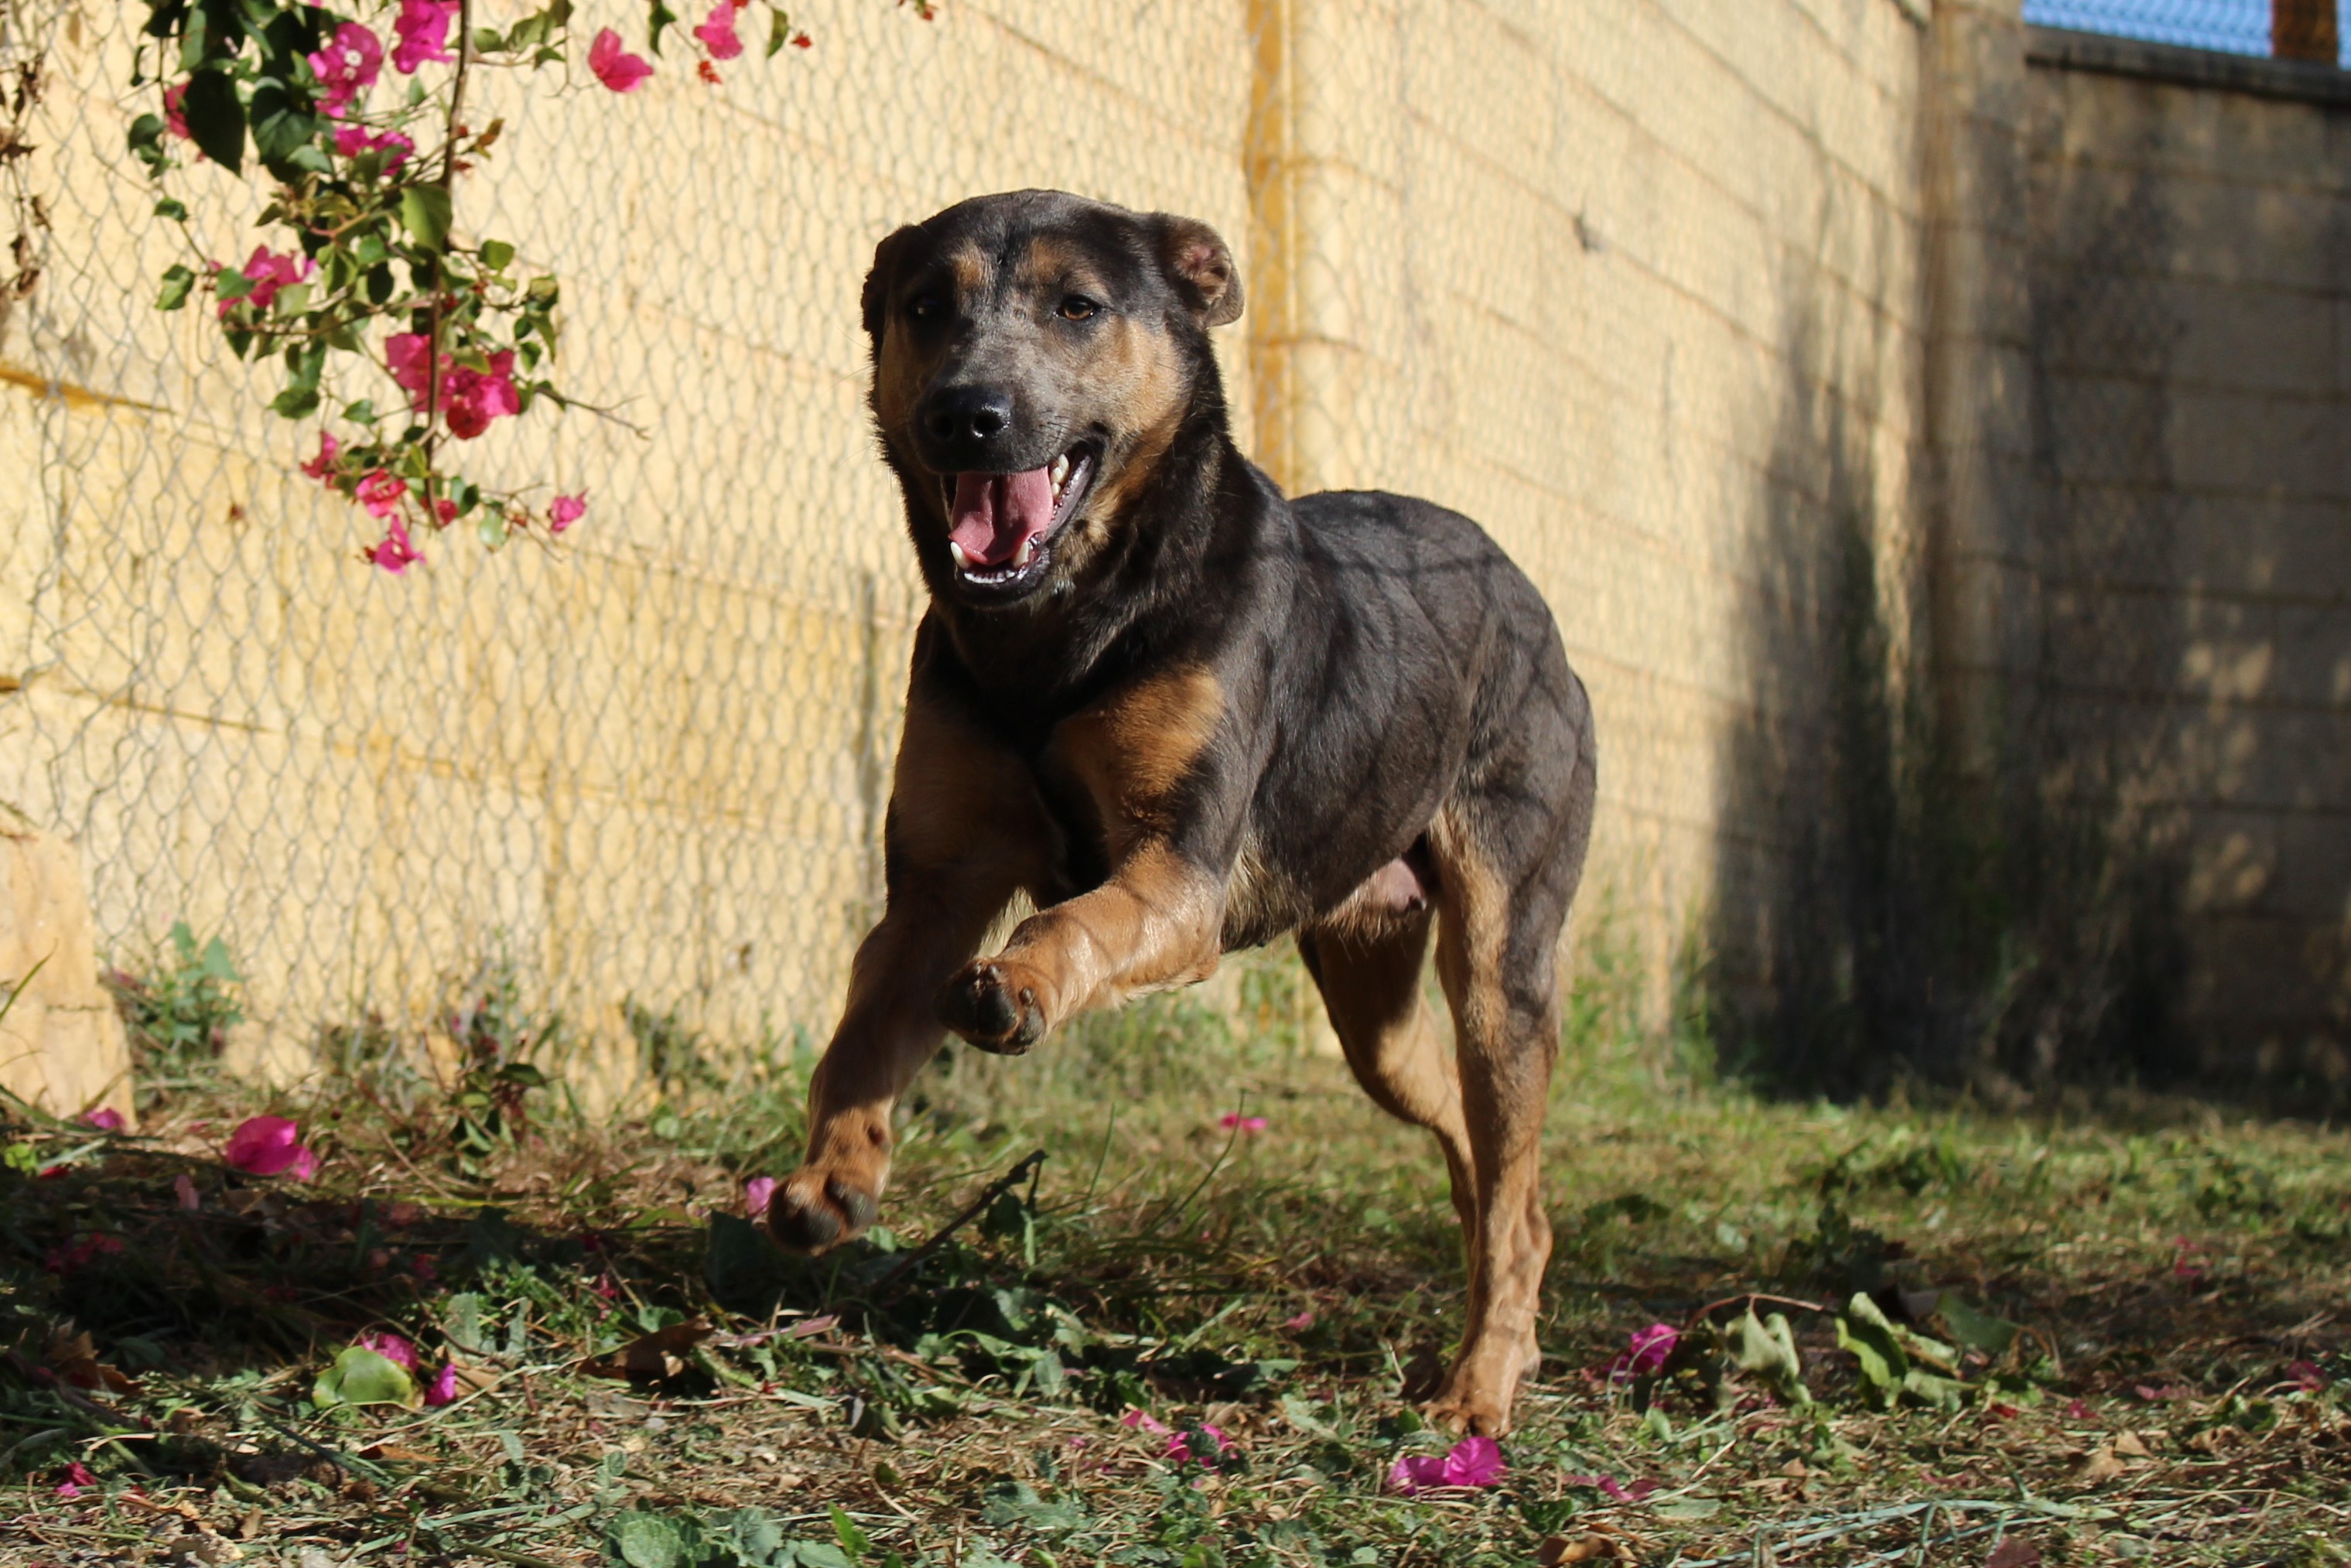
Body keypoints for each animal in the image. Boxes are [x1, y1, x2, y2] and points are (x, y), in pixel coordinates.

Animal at [771, 186, 1598, 1438]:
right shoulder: (932, 888)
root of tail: (1520, 584)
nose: (967, 414)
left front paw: (1020, 982)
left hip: (1503, 965)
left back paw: (1476, 1389)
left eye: (1076, 306)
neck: (1058, 632)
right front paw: (835, 1174)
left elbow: (1079, 920)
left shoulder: (1180, 876)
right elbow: (863, 1032)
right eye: (923, 307)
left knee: (1512, 1177)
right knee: (1490, 1163)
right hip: (1375, 1011)